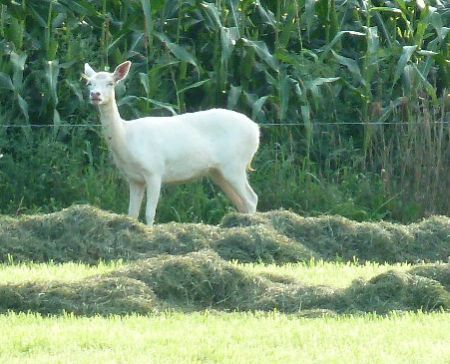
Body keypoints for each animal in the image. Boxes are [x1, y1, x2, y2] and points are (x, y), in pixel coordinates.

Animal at [84, 60, 260, 225]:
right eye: (89, 83)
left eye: (111, 83)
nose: (95, 95)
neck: (127, 138)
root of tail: (256, 130)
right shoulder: (134, 179)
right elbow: (131, 214)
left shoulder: (154, 170)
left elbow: (150, 214)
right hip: (219, 171)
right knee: (242, 203)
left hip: (235, 164)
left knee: (252, 199)